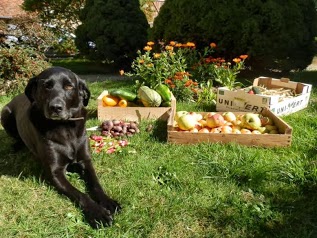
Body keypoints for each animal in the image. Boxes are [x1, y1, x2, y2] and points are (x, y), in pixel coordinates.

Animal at [0, 66, 121, 228]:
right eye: (46, 86)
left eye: (69, 86)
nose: (55, 107)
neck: (64, 126)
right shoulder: (55, 172)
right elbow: (80, 194)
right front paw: (98, 213)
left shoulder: (86, 161)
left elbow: (96, 184)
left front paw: (108, 202)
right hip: (5, 113)